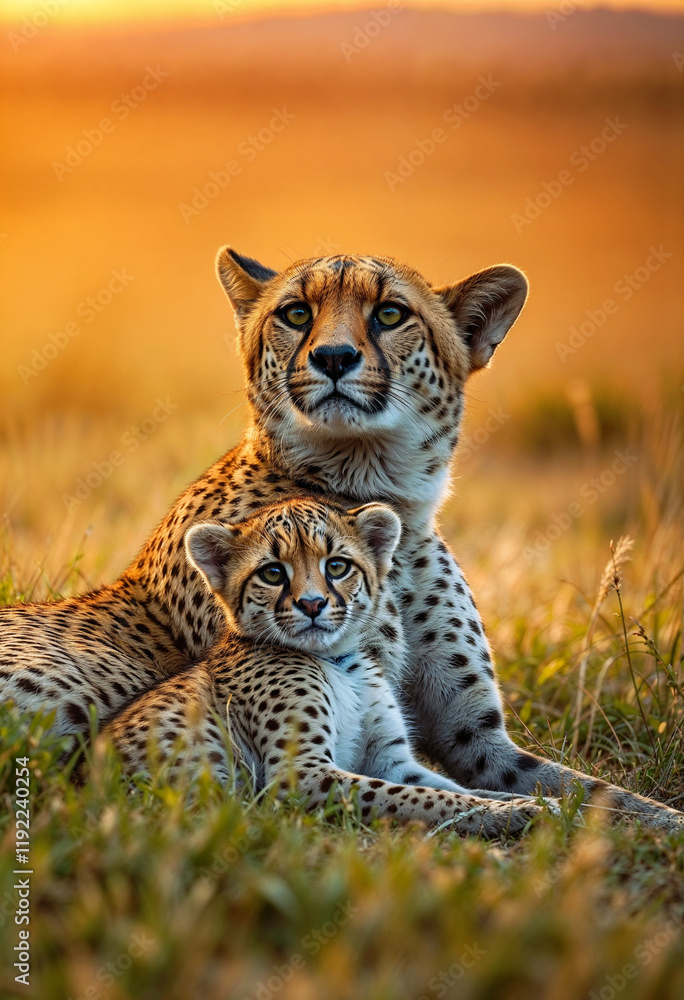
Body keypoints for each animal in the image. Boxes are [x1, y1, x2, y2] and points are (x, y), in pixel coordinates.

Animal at [101, 496, 557, 838]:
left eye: (336, 565)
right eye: (272, 573)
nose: (312, 604)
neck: (341, 662)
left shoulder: (393, 763)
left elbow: (453, 788)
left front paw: (541, 803)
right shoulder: (300, 773)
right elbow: (427, 799)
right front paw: (515, 814)